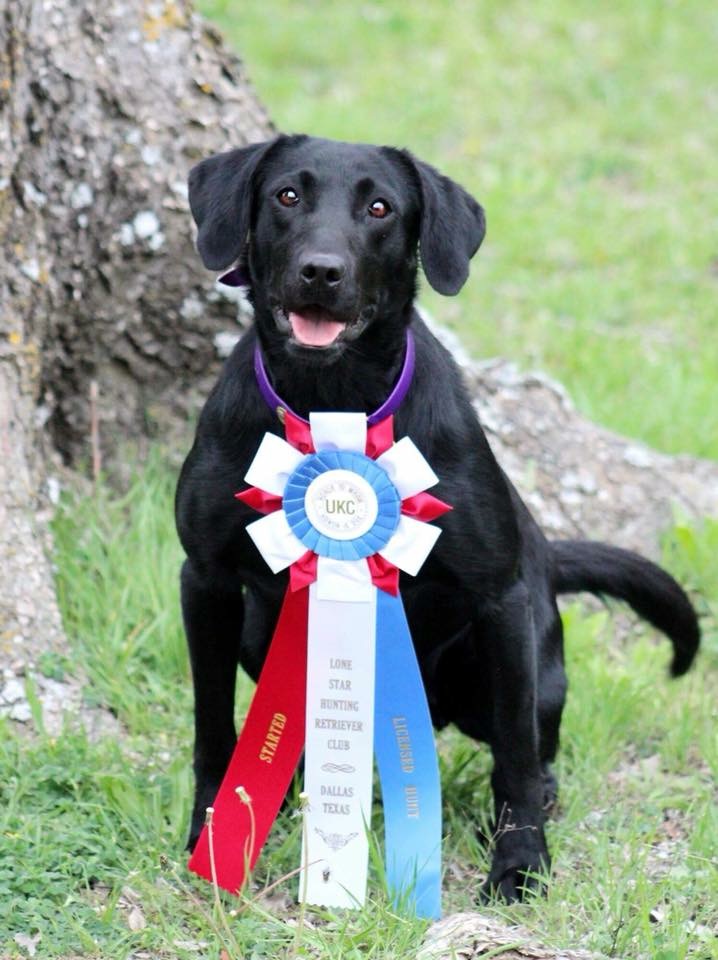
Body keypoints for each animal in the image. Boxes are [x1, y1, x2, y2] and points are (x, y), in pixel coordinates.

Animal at [177, 133, 700, 900]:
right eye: (287, 195)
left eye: (380, 207)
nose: (321, 271)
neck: (332, 397)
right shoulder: (206, 581)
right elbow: (213, 726)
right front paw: (216, 835)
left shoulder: (500, 600)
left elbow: (514, 757)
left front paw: (520, 863)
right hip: (256, 631)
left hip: (524, 665)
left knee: (535, 749)